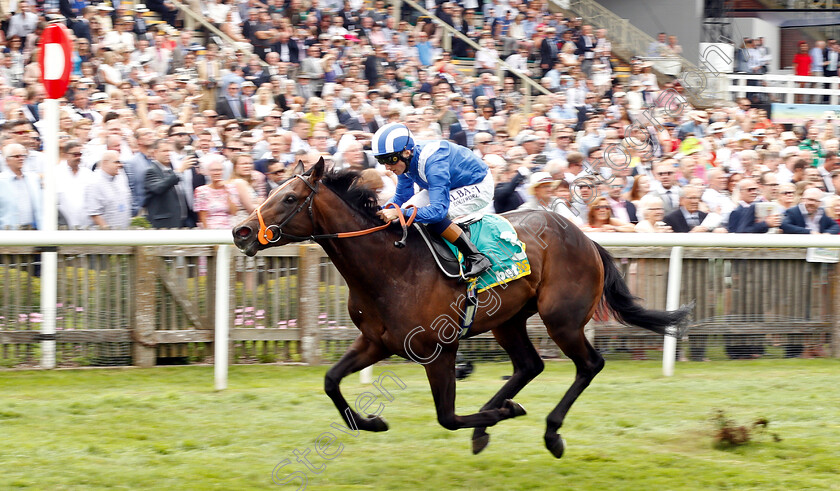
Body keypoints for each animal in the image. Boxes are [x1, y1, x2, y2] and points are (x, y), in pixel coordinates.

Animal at [231, 160, 688, 460]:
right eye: (272, 192)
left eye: (289, 198)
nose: (241, 231)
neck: (390, 267)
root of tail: (584, 237)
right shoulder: (376, 341)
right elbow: (330, 381)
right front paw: (372, 422)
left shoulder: (439, 351)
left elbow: (447, 417)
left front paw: (505, 412)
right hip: (509, 320)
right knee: (529, 365)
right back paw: (488, 423)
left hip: (562, 318)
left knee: (589, 365)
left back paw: (548, 432)